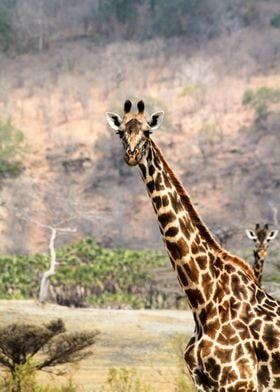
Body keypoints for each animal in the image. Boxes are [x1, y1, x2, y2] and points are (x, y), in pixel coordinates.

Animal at [105, 101, 280, 392]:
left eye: (147, 132)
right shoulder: (203, 383)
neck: (203, 302)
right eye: (120, 132)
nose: (131, 155)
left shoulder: (239, 382)